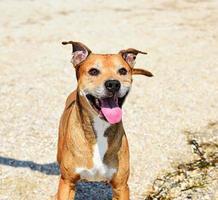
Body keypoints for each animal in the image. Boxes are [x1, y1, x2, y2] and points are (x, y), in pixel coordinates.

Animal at [55, 41, 152, 200]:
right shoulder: (67, 182)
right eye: (93, 71)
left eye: (122, 71)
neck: (100, 127)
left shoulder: (121, 187)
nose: (113, 84)